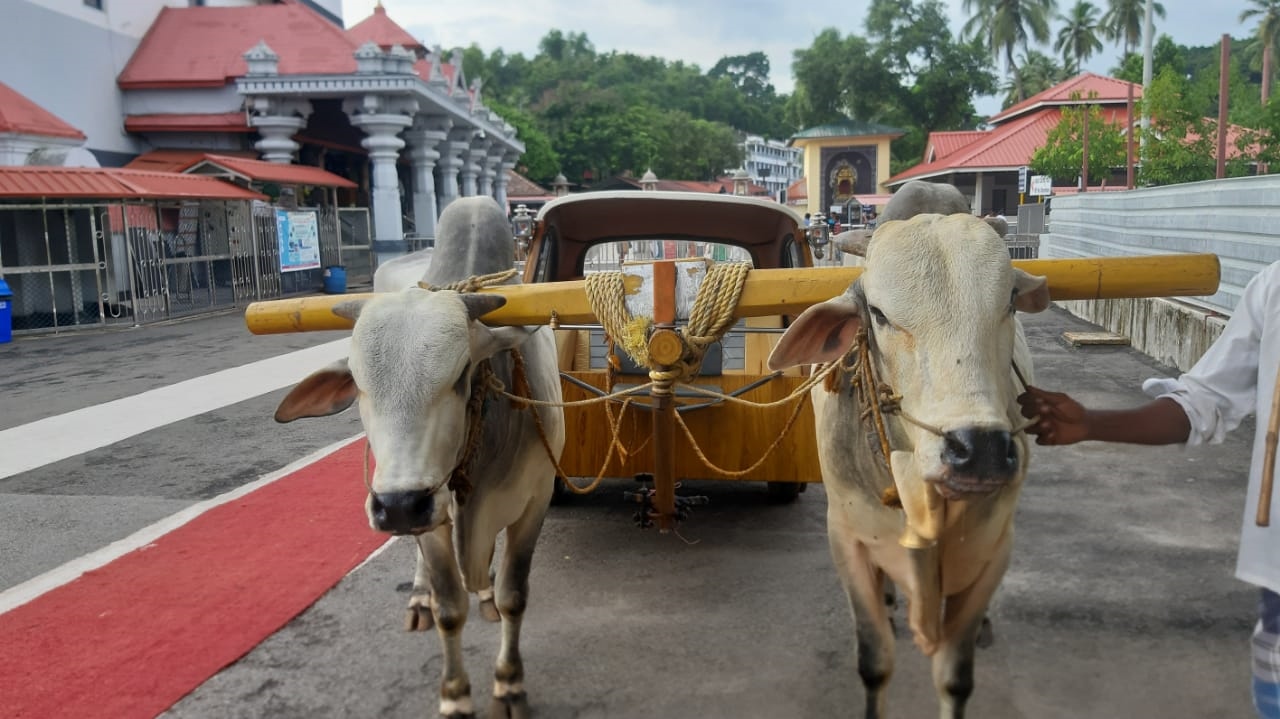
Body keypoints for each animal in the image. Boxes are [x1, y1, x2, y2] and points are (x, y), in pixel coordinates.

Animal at [275, 195, 565, 716]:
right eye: (359, 385)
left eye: (462, 374)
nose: (398, 506)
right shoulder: (432, 515)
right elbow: (450, 607)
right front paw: (455, 694)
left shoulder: (536, 500)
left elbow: (513, 597)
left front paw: (509, 684)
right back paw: (418, 598)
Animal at [762, 204, 1044, 711]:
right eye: (878, 314)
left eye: (1010, 301)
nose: (978, 451)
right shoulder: (846, 539)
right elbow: (875, 663)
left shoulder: (996, 546)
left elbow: (955, 676)